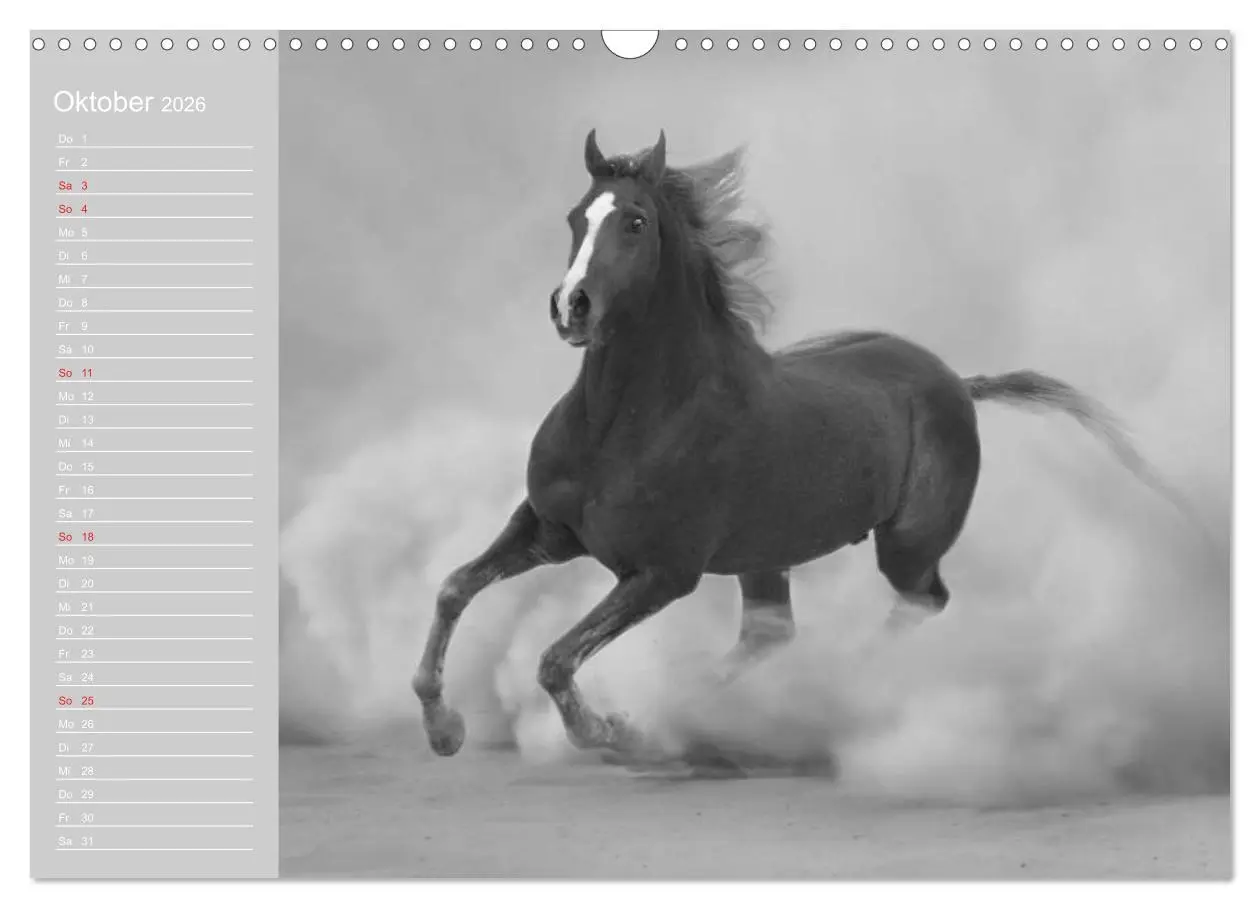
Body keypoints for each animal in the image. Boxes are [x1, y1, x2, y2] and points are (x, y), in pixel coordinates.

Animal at [412, 129, 1167, 759]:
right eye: (575, 217)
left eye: (635, 221)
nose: (572, 307)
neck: (624, 424)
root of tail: (956, 381)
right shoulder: (547, 530)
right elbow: (454, 588)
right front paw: (444, 729)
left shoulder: (661, 573)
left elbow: (555, 659)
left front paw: (612, 732)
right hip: (765, 556)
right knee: (768, 636)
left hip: (906, 544)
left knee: (920, 601)